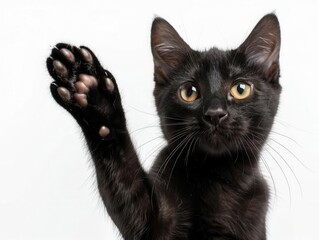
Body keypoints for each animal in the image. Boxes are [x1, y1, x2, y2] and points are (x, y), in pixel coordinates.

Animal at [46, 14, 282, 239]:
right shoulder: (152, 223)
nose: (215, 113)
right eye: (189, 92)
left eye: (240, 89)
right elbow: (126, 183)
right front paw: (93, 95)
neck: (216, 176)